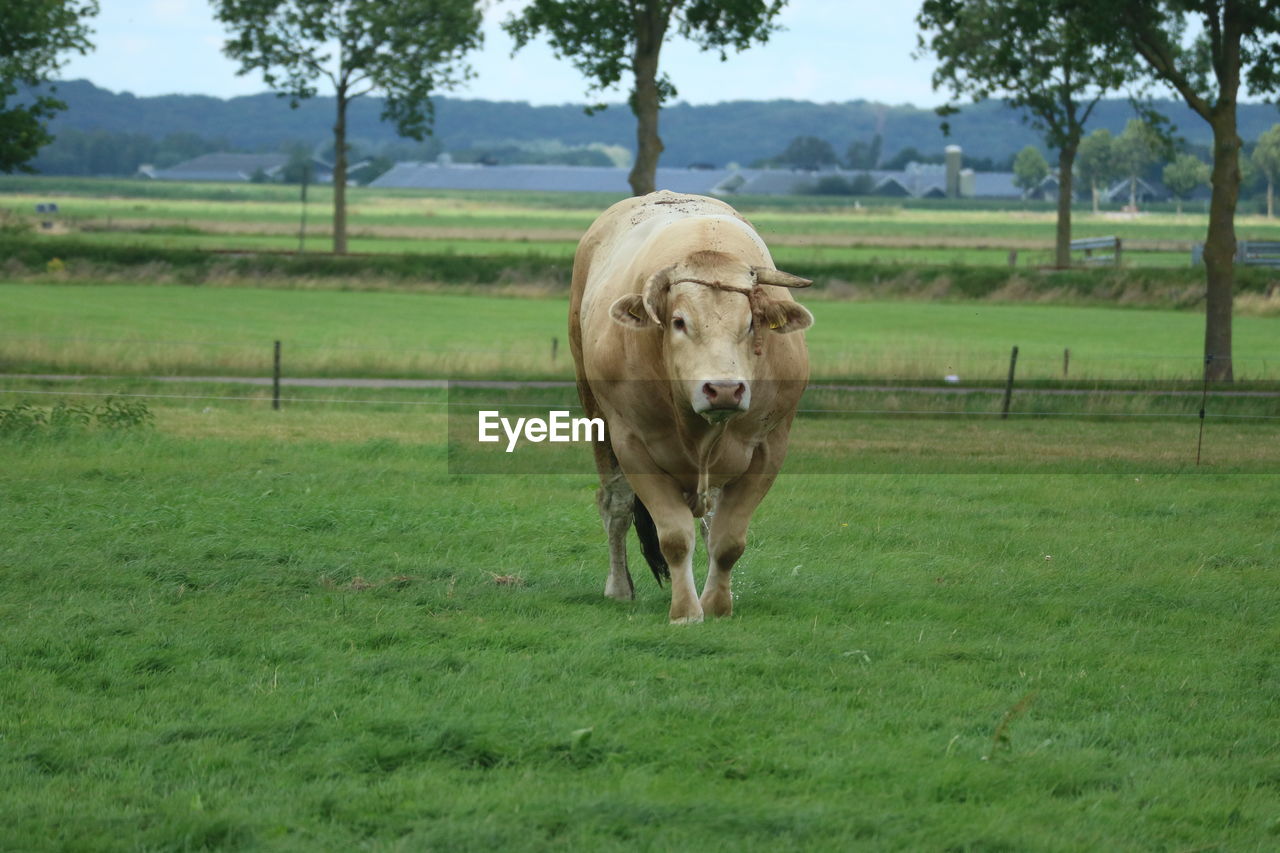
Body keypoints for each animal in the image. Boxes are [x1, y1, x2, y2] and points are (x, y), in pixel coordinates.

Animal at [568, 189, 808, 622]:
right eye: (679, 321)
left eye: (751, 322)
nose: (724, 390)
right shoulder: (635, 447)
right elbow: (675, 538)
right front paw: (685, 611)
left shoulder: (770, 449)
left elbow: (728, 540)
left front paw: (717, 605)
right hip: (595, 413)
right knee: (615, 505)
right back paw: (619, 588)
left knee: (710, 522)